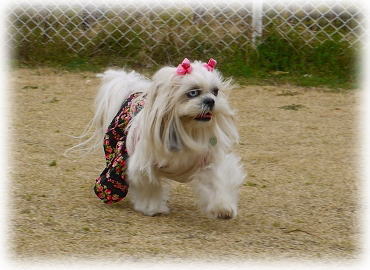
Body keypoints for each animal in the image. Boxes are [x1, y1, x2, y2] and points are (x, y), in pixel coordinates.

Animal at [75, 58, 246, 218]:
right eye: (193, 93)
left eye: (215, 91)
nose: (210, 101)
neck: (187, 130)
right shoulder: (143, 164)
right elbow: (149, 184)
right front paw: (152, 208)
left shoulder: (209, 160)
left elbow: (218, 179)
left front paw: (223, 207)